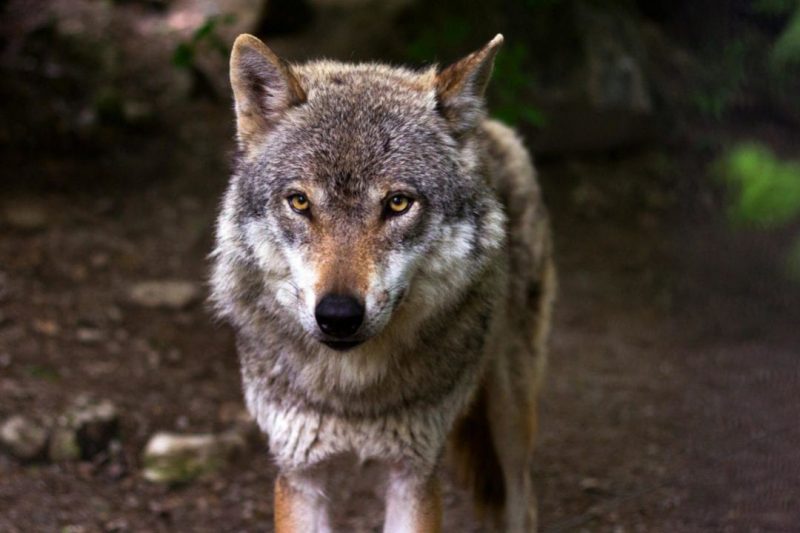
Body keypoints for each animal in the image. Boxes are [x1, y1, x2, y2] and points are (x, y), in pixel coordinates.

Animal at [210, 32, 556, 532]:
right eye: (299, 202)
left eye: (397, 203)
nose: (338, 316)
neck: (352, 394)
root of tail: (487, 127)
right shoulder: (300, 474)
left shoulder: (413, 475)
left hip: (510, 414)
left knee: (522, 500)